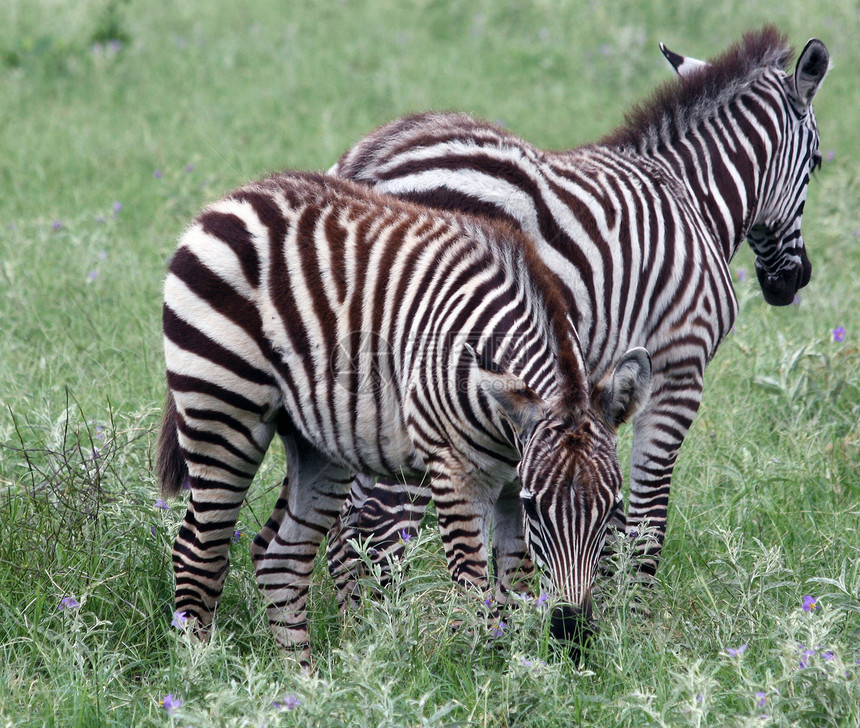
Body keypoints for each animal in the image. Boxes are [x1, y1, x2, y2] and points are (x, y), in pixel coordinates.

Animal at [156, 171, 652, 664]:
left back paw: (302, 680)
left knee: (281, 558)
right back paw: (200, 673)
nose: (572, 633)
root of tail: (236, 197)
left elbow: (515, 590)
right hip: (220, 408)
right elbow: (473, 591)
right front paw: (476, 672)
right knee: (198, 551)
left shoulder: (513, 479)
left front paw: (514, 666)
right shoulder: (456, 471)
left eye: (612, 510)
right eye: (536, 509)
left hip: (317, 442)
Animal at [322, 27, 828, 604]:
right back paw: (388, 624)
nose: (794, 282)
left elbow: (602, 507)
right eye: (817, 162)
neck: (693, 199)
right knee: (378, 525)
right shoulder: (680, 364)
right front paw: (635, 609)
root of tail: (367, 162)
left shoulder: (595, 382)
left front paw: (598, 601)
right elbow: (649, 514)